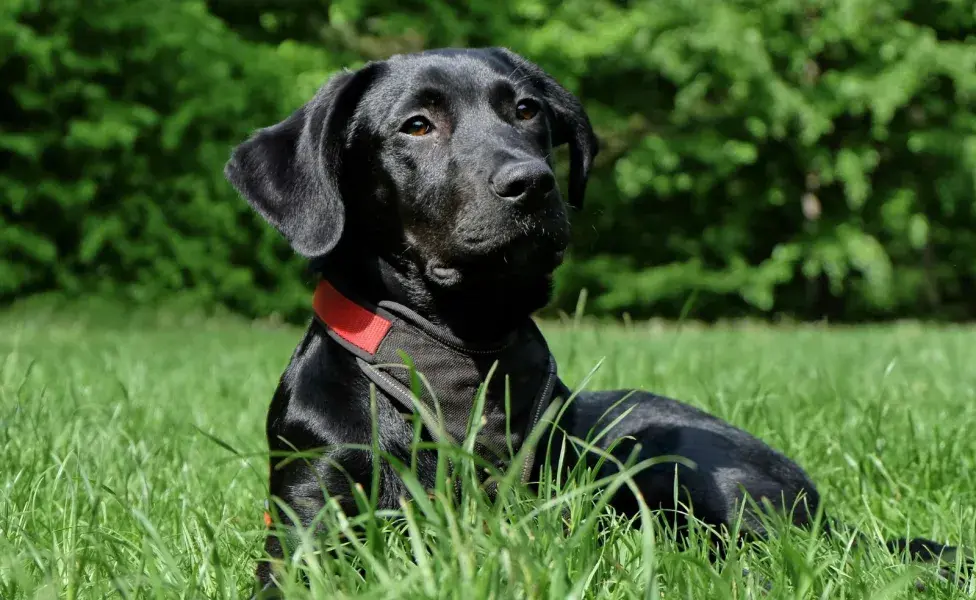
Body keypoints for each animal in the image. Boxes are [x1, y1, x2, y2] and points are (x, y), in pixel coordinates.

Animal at [225, 45, 964, 592]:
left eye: (525, 110)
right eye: (416, 125)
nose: (531, 183)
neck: (455, 355)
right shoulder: (308, 518)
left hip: (672, 457)